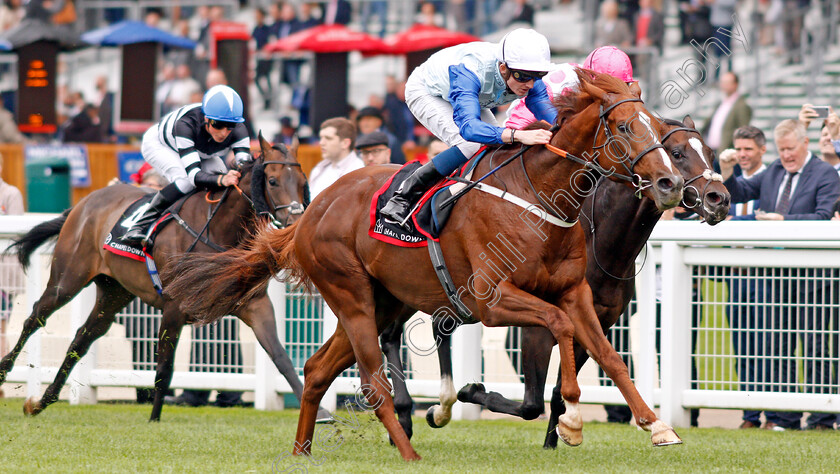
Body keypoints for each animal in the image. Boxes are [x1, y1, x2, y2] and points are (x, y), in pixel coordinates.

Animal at [0, 135, 332, 420]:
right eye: (273, 181)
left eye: (303, 182)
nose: (297, 221)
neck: (220, 231)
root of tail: (83, 204)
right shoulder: (175, 307)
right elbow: (164, 367)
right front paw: (154, 419)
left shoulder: (255, 305)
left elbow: (281, 357)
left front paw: (322, 413)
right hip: (68, 277)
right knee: (35, 317)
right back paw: (6, 371)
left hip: (114, 291)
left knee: (83, 337)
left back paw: (42, 402)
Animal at [166, 70, 688, 460]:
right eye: (625, 127)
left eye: (660, 129)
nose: (670, 183)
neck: (538, 196)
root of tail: (310, 213)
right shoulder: (491, 300)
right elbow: (559, 327)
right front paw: (574, 421)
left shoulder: (575, 292)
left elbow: (610, 356)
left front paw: (656, 425)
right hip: (351, 296)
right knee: (373, 379)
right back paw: (407, 452)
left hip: (380, 302)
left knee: (315, 370)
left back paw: (302, 450)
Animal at [384, 116, 732, 442]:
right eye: (676, 153)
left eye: (711, 153)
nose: (719, 198)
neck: (600, 240)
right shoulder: (536, 328)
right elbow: (531, 402)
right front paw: (473, 391)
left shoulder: (597, 320)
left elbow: (560, 391)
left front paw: (559, 437)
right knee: (396, 333)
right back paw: (412, 412)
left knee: (413, 329)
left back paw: (414, 413)